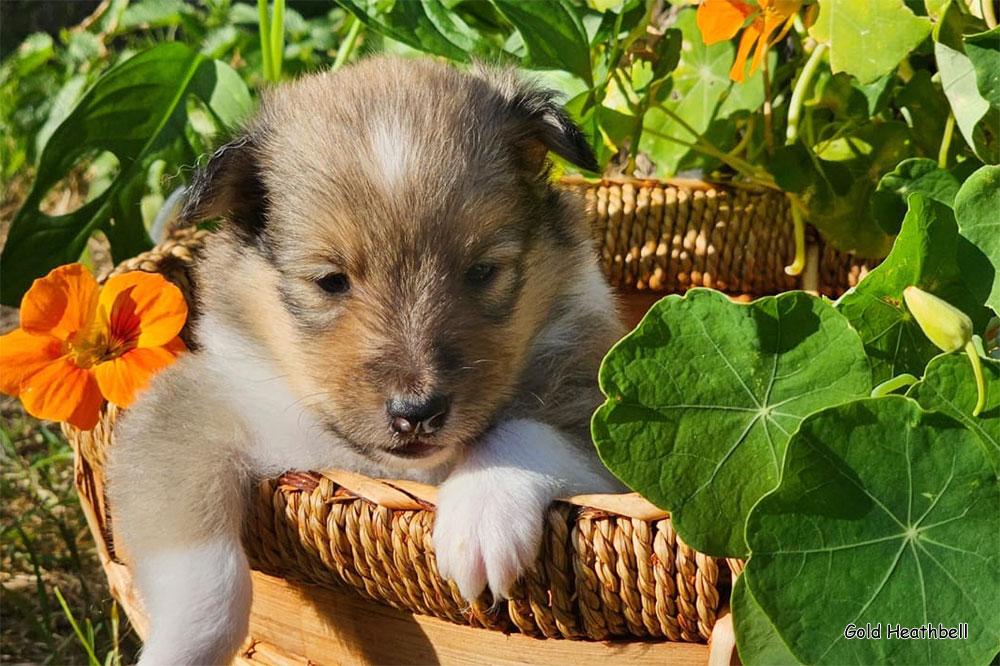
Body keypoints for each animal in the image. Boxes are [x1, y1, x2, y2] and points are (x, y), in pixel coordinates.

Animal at [107, 58, 624, 664]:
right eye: (330, 281)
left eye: (482, 271)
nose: (418, 414)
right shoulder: (188, 409)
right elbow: (204, 578)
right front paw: (180, 648)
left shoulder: (602, 420)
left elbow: (527, 428)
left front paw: (479, 522)